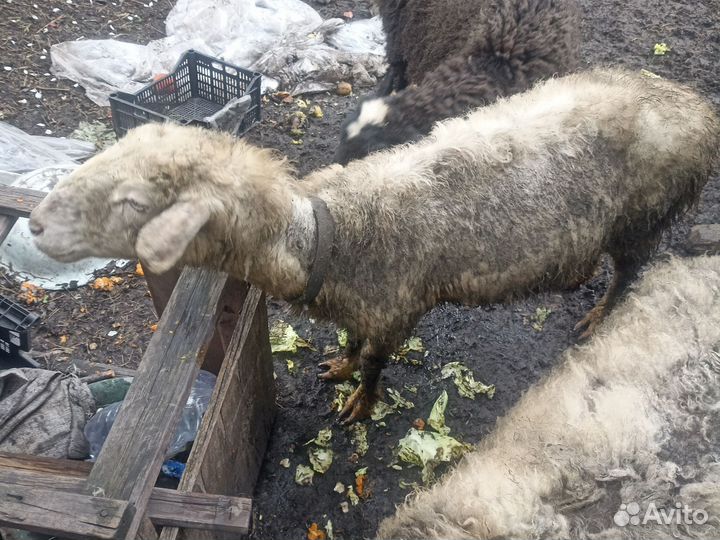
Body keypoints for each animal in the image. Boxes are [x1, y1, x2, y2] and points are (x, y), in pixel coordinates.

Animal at [28, 68, 720, 423]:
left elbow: (375, 363)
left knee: (630, 273)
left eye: (134, 203)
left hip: (643, 218)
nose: (32, 225)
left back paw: (599, 317)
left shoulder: (394, 311)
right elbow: (349, 343)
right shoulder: (361, 305)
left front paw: (360, 403)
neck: (328, 237)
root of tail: (698, 107)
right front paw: (336, 365)